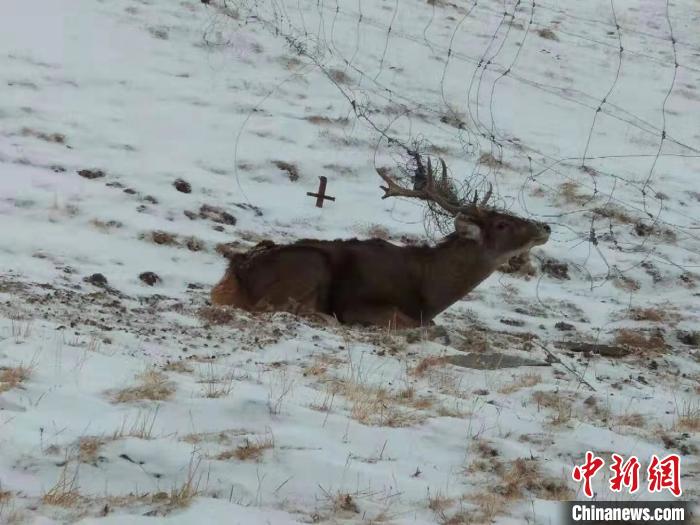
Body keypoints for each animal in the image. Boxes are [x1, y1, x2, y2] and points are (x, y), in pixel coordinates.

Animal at [211, 154, 550, 328]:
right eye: (503, 223)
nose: (545, 227)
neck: (430, 291)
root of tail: (234, 275)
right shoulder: (359, 304)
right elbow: (424, 326)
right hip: (311, 263)